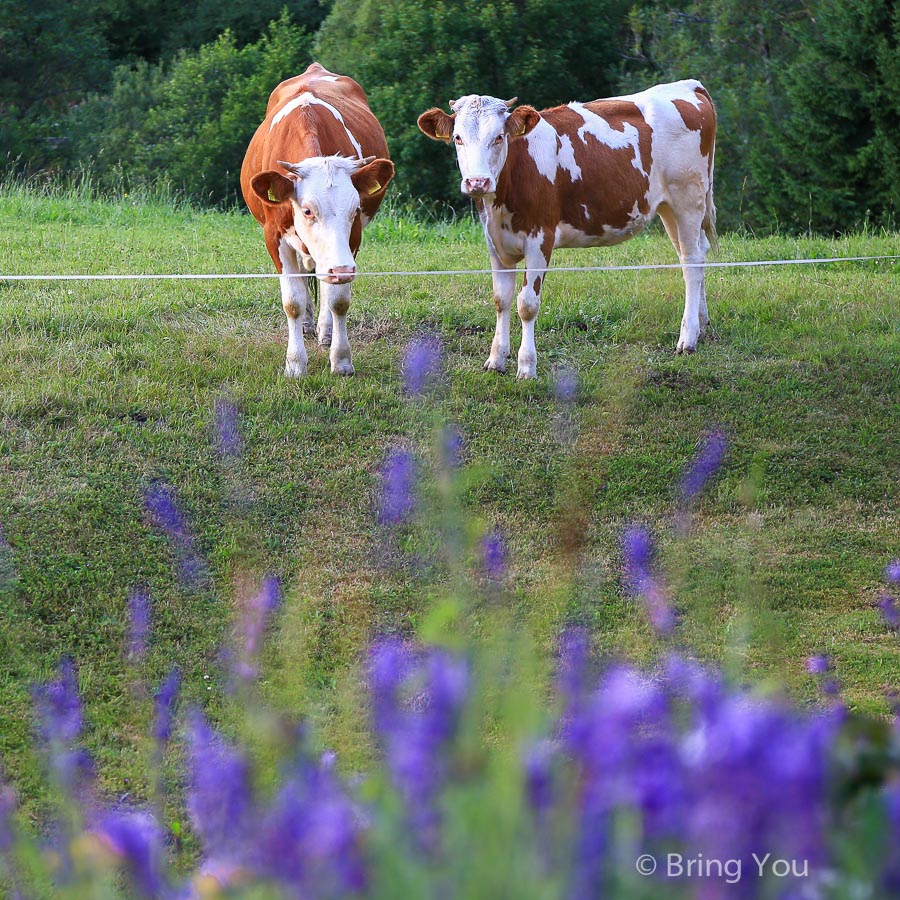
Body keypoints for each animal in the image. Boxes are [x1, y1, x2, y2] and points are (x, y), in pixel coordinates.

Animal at [241, 61, 392, 374]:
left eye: (355, 209)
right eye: (307, 210)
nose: (343, 269)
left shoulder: (352, 240)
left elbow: (339, 300)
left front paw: (342, 359)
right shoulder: (274, 236)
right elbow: (293, 301)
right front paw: (295, 364)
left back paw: (324, 329)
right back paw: (308, 324)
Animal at [418, 81, 720, 380]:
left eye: (499, 137)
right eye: (458, 138)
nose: (477, 182)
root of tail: (689, 85)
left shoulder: (540, 238)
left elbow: (527, 304)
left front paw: (526, 366)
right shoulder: (495, 242)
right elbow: (501, 300)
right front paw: (496, 359)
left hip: (687, 197)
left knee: (691, 262)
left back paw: (688, 338)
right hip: (669, 207)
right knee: (696, 254)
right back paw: (702, 323)